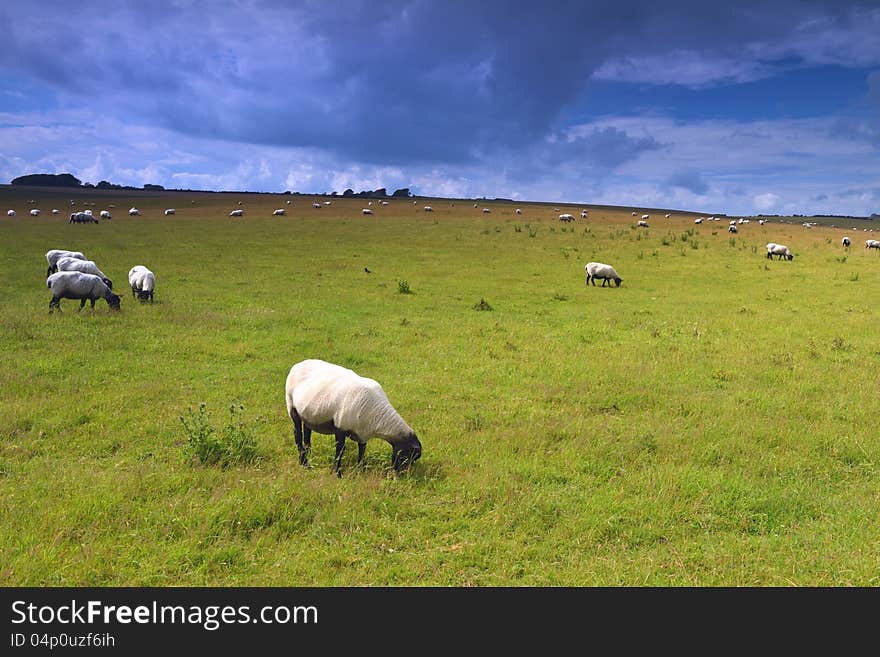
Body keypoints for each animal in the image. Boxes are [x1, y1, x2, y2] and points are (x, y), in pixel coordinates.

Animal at [286, 358, 422, 476]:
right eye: (405, 457)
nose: (400, 475)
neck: (378, 414)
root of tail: (298, 364)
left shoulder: (362, 433)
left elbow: (362, 450)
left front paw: (360, 468)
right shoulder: (340, 427)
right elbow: (340, 450)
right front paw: (337, 473)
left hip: (307, 413)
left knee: (307, 432)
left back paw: (308, 453)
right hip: (292, 405)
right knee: (297, 434)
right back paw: (304, 463)